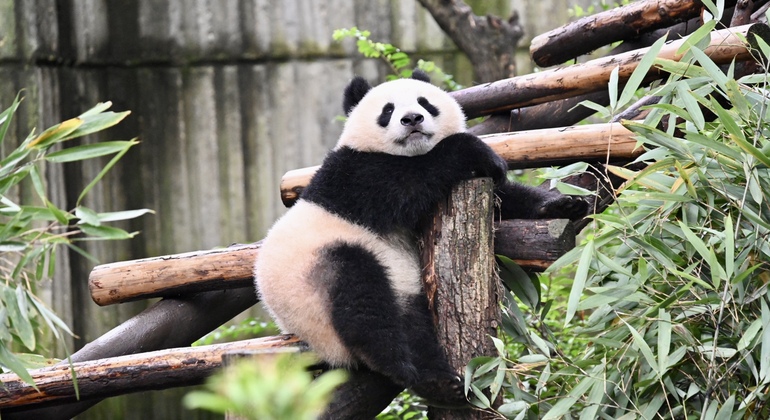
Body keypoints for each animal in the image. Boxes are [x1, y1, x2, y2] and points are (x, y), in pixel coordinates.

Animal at [255, 70, 586, 415]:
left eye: (425, 102)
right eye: (387, 110)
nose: (412, 118)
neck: (407, 151)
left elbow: (503, 199)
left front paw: (563, 204)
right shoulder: (355, 175)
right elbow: (411, 182)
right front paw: (485, 155)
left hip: (402, 293)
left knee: (413, 328)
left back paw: (442, 383)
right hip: (315, 283)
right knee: (362, 303)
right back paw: (409, 371)